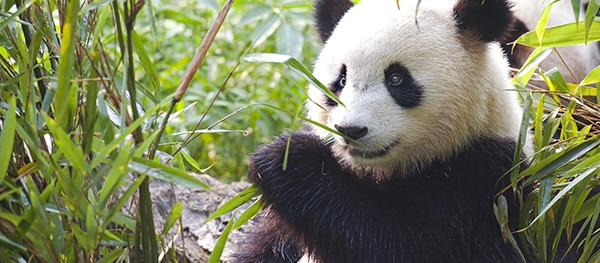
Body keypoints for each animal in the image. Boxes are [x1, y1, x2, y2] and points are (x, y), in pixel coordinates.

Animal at [236, 0, 536, 262]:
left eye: (396, 78)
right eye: (341, 80)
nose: (351, 130)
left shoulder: (487, 183)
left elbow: (408, 241)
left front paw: (289, 159)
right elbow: (269, 246)